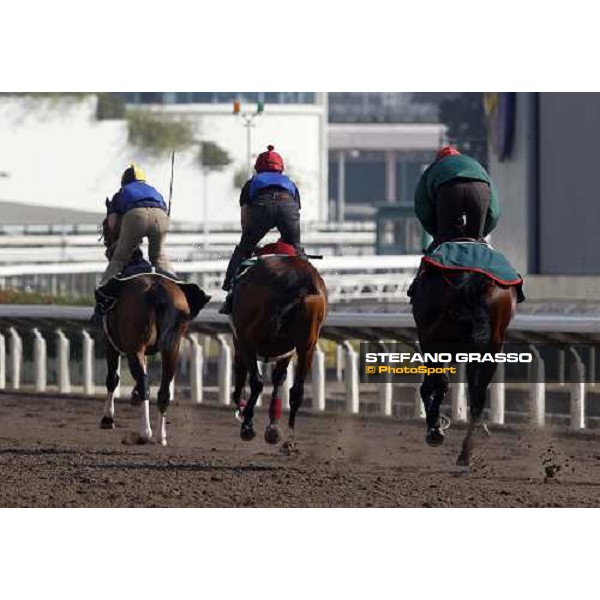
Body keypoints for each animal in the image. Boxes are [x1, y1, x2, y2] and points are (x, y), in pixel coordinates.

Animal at [99, 216, 210, 446]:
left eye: (106, 225)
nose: (107, 248)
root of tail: (156, 288)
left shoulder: (110, 343)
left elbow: (113, 378)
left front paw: (107, 419)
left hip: (135, 346)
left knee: (144, 385)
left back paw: (145, 432)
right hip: (172, 347)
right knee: (163, 389)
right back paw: (161, 436)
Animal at [231, 251, 328, 452]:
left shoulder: (242, 341)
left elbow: (251, 380)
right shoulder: (288, 352)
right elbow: (278, 380)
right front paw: (273, 428)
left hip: (249, 339)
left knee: (257, 382)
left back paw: (247, 427)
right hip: (307, 344)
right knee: (297, 390)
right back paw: (290, 439)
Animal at [410, 262, 516, 464]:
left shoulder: (429, 337)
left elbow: (434, 384)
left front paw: (436, 427)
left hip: (436, 338)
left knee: (439, 383)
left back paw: (436, 431)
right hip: (491, 345)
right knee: (478, 394)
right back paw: (466, 451)